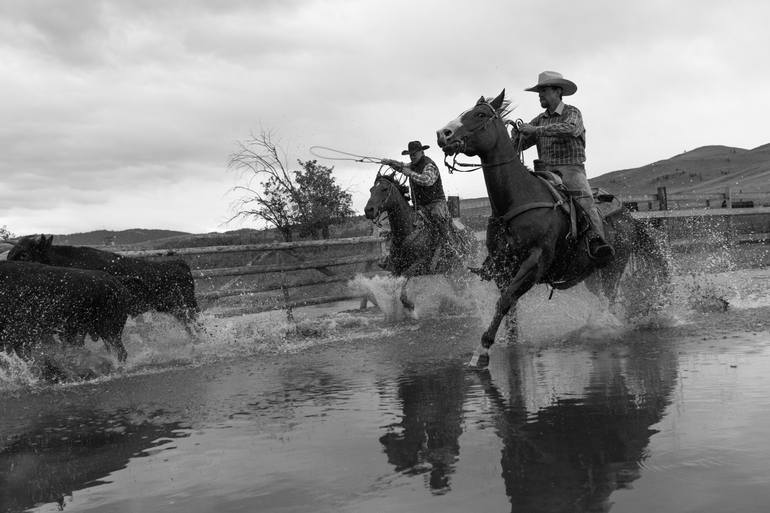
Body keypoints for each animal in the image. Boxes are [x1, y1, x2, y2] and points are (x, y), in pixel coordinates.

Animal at [362, 171, 480, 308]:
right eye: (371, 190)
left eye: (384, 189)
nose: (369, 210)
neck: (408, 231)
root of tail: (472, 236)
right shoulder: (396, 268)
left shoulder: (422, 264)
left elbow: (406, 277)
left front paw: (409, 305)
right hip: (450, 272)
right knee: (459, 289)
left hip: (463, 269)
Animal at [436, 89, 668, 368]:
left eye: (479, 114)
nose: (442, 134)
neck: (517, 200)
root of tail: (629, 217)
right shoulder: (503, 268)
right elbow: (508, 309)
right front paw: (507, 344)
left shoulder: (535, 262)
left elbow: (505, 300)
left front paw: (481, 351)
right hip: (592, 274)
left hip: (614, 267)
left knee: (610, 299)